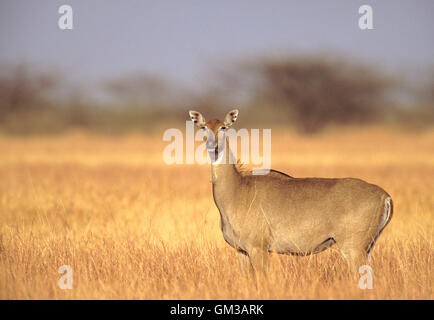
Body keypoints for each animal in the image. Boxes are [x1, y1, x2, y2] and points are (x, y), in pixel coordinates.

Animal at [189, 109, 394, 272]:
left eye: (224, 127)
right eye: (203, 127)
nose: (213, 146)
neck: (238, 188)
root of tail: (385, 196)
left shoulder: (258, 248)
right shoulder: (242, 251)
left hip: (352, 248)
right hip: (367, 248)